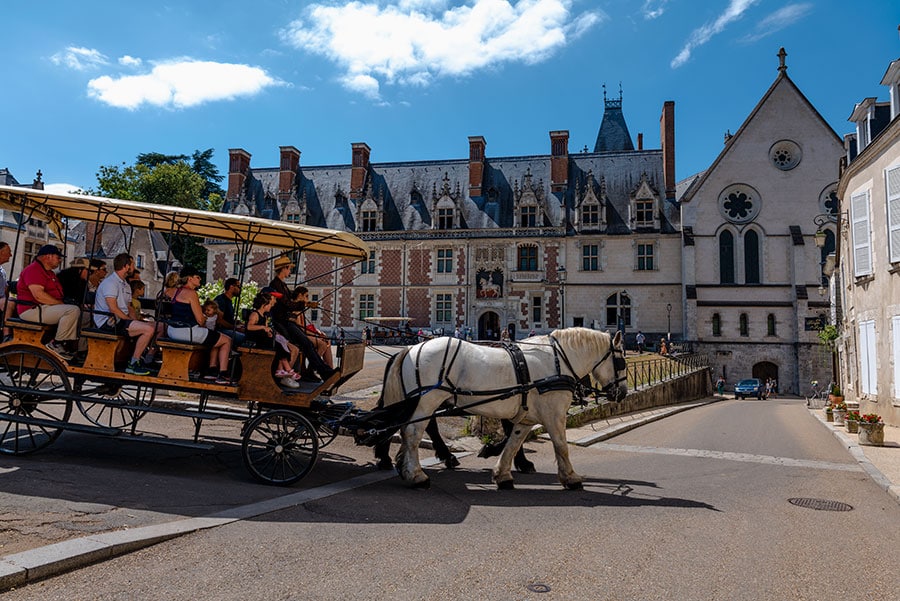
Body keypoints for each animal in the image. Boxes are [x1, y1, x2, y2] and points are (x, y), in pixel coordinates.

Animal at [380, 328, 624, 488]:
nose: (622, 393)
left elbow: (513, 443)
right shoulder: (554, 415)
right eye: (621, 362)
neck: (557, 361)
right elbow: (561, 446)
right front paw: (571, 478)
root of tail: (412, 348)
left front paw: (502, 473)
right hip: (427, 401)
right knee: (413, 433)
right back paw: (416, 475)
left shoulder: (526, 417)